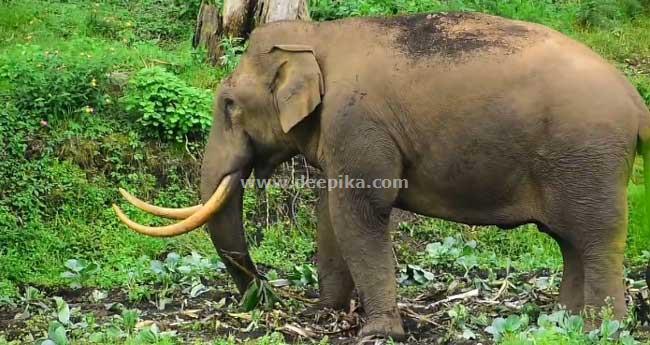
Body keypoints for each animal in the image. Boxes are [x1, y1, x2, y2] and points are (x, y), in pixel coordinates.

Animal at [114, 11, 648, 338]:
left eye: (228, 104)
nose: (265, 300)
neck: (319, 36)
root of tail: (637, 104)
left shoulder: (358, 123)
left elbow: (362, 212)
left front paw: (377, 333)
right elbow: (331, 214)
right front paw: (325, 313)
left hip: (588, 159)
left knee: (596, 239)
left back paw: (603, 330)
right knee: (571, 241)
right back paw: (566, 322)